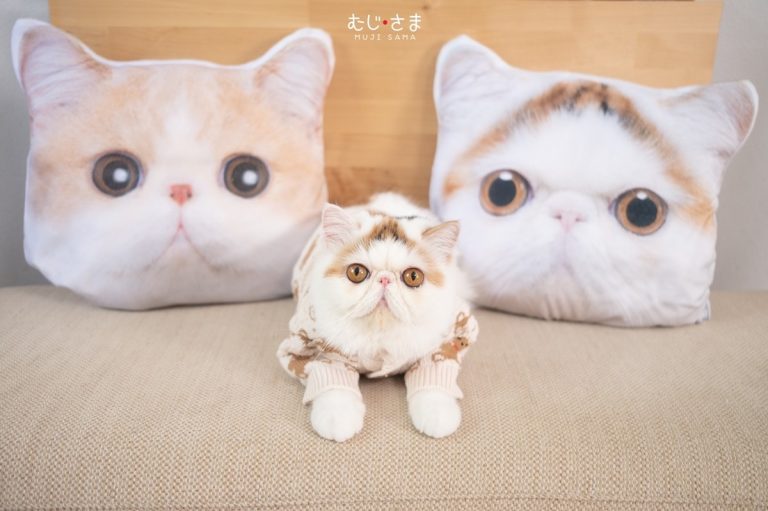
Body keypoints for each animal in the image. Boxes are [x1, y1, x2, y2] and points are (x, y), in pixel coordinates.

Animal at [277, 193, 479, 441]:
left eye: (413, 276)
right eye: (356, 272)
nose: (384, 279)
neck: (380, 336)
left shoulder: (449, 339)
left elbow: (432, 383)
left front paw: (437, 417)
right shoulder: (311, 348)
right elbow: (334, 385)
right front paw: (338, 420)